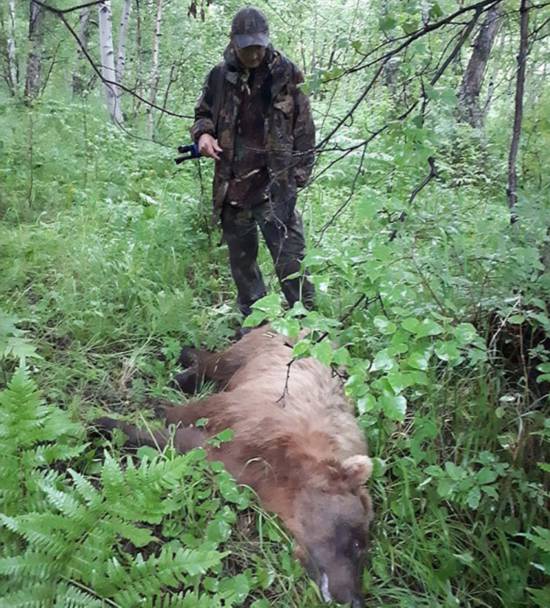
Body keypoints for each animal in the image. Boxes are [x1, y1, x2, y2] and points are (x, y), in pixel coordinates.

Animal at [97, 330, 378, 604]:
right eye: (357, 543)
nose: (355, 599)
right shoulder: (251, 419)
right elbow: (190, 420)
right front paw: (115, 422)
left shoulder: (245, 470)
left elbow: (189, 446)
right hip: (257, 348)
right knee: (221, 361)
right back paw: (186, 364)